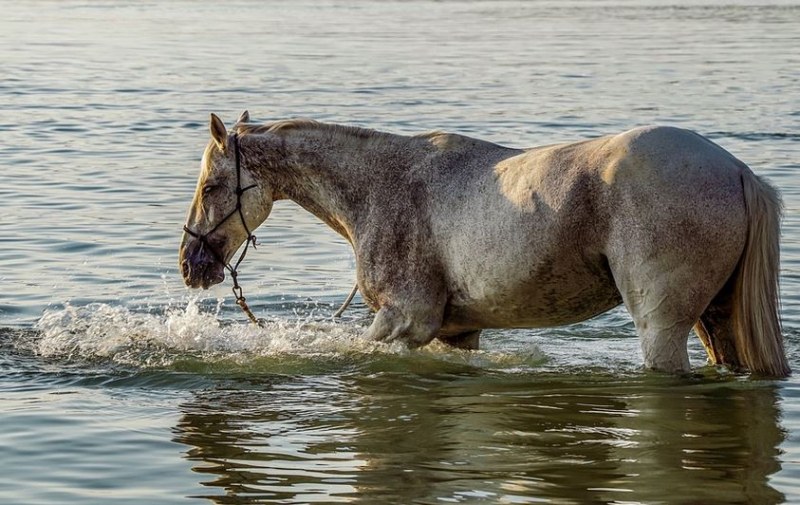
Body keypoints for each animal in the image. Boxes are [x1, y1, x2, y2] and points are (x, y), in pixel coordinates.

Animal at [180, 112, 788, 376]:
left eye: (210, 187)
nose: (191, 264)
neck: (383, 184)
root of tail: (736, 171)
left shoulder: (405, 321)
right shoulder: (455, 333)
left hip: (662, 325)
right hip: (716, 320)